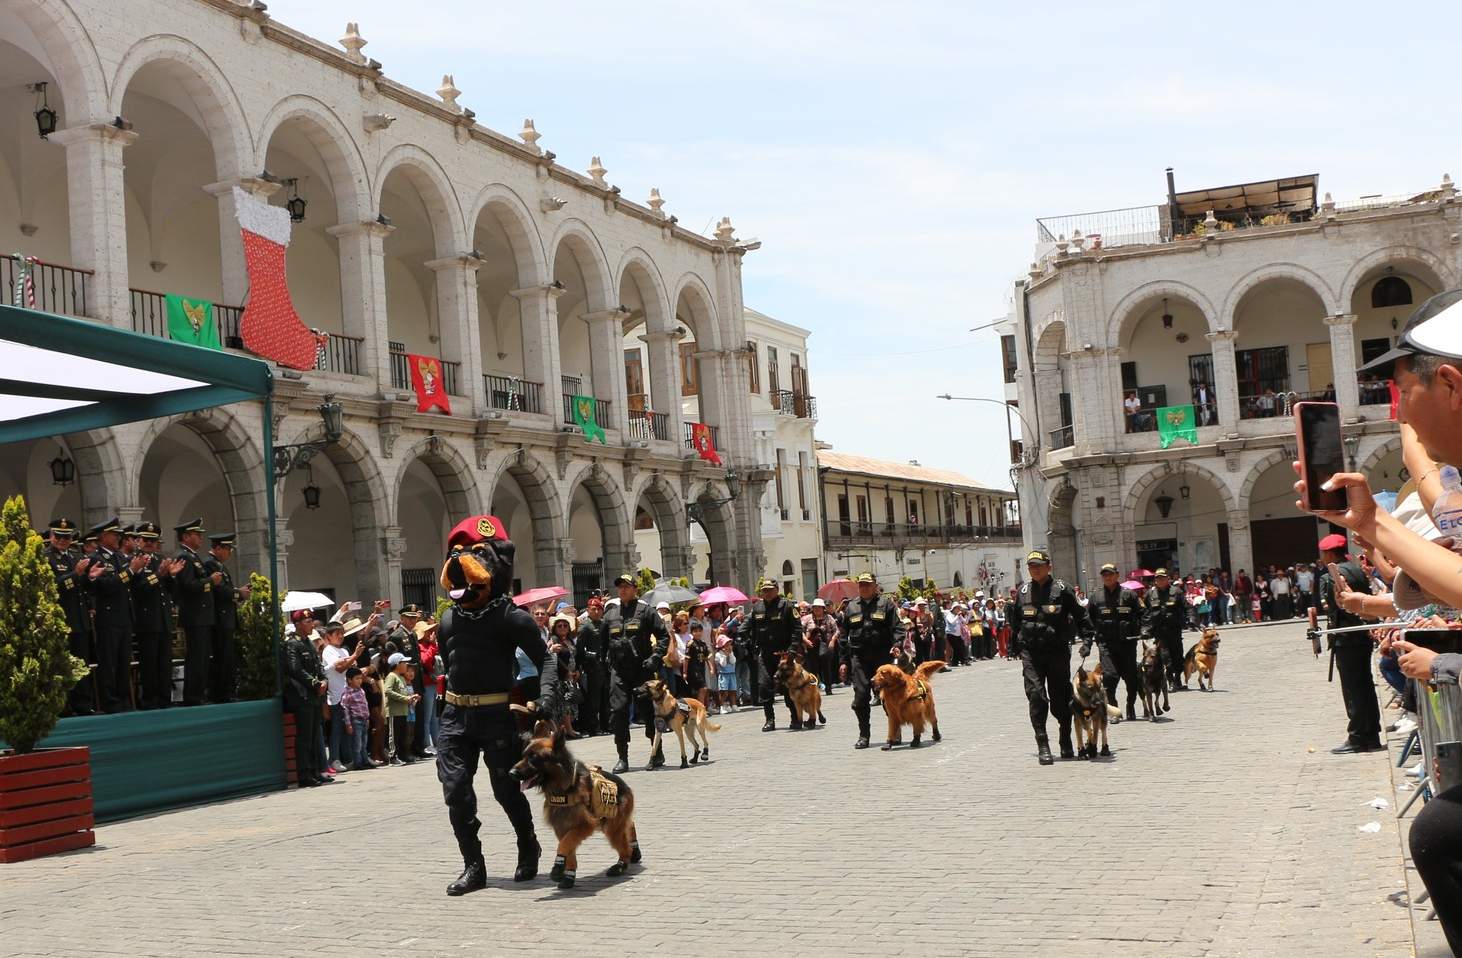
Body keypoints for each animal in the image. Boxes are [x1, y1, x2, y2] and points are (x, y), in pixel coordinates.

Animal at [511, 719, 643, 889]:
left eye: (534, 758)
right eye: (523, 756)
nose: (511, 773)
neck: (563, 787)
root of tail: (625, 786)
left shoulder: (584, 826)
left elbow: (564, 844)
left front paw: (558, 867)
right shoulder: (562, 828)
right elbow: (569, 848)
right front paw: (568, 875)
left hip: (611, 828)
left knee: (625, 847)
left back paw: (620, 865)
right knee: (629, 827)